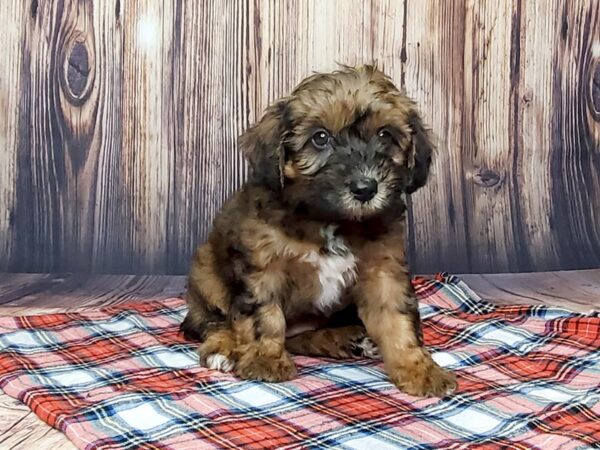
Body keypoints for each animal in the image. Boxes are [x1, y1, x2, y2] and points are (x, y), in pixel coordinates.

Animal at [180, 64, 458, 398]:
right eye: (321, 138)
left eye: (385, 134)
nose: (365, 189)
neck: (332, 219)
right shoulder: (262, 267)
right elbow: (264, 316)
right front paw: (264, 359)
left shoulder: (384, 270)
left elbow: (397, 319)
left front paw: (418, 368)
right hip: (205, 273)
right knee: (213, 322)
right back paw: (223, 349)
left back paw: (347, 339)